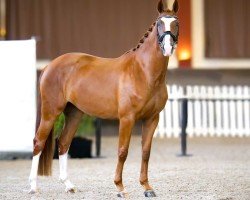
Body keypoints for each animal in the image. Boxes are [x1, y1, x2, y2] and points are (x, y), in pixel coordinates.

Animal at [28, 0, 179, 197]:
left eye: (176, 23)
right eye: (160, 23)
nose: (168, 48)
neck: (143, 72)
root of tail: (49, 66)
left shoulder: (152, 119)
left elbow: (146, 152)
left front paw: (147, 188)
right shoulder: (127, 118)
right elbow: (122, 151)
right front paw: (120, 188)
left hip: (74, 113)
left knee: (63, 143)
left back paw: (68, 185)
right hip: (50, 113)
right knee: (38, 143)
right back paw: (33, 187)